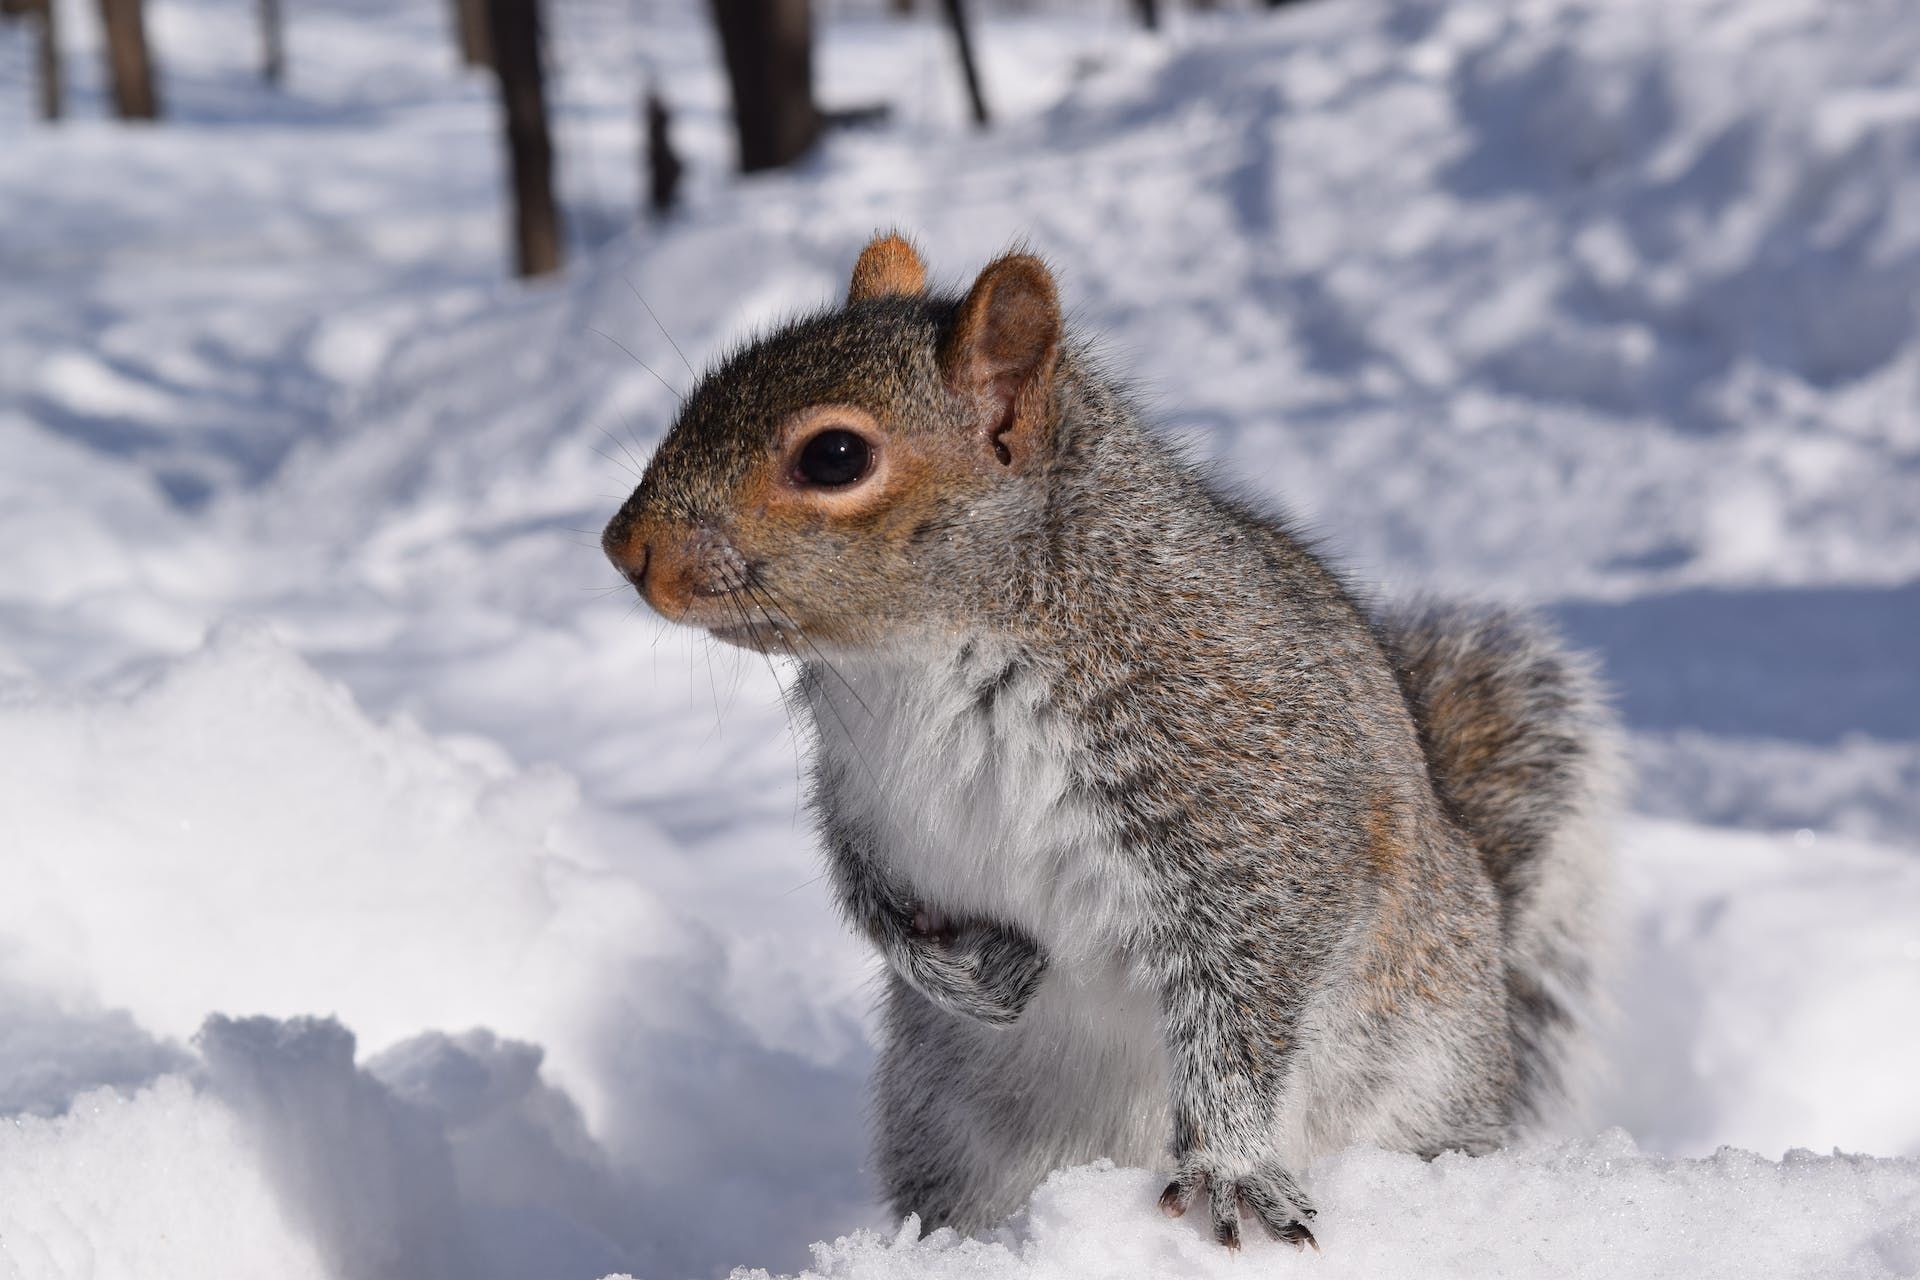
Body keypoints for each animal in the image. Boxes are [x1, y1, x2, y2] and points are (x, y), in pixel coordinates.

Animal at [602, 233, 1620, 1251]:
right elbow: (869, 898)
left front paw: (1229, 1164)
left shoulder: (1255, 790)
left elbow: (1248, 986)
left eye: (836, 455)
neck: (918, 659)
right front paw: (968, 975)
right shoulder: (860, 797)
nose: (623, 547)